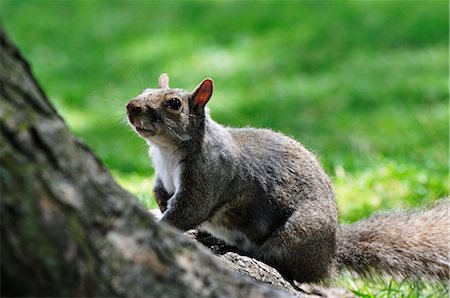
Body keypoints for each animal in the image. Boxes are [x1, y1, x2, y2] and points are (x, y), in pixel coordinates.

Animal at [125, 73, 450, 282]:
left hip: (297, 234)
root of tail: (331, 252)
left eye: (174, 104)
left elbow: (188, 211)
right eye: (144, 90)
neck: (166, 154)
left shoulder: (209, 175)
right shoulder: (163, 177)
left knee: (286, 266)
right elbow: (161, 195)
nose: (131, 106)